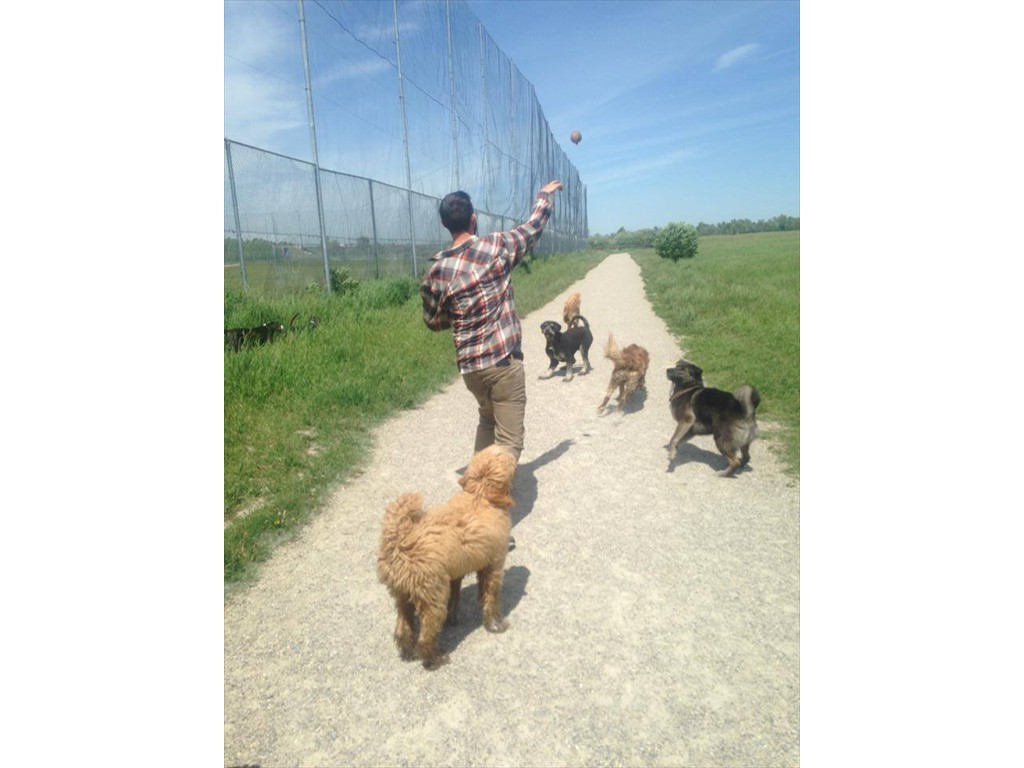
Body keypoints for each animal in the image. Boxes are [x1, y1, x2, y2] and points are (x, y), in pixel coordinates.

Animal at [376, 448, 516, 671]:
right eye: (506, 458)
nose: (509, 449)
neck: (479, 494)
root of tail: (400, 541)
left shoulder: (455, 571)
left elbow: (456, 595)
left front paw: (454, 618)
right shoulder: (495, 563)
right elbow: (491, 597)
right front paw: (495, 624)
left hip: (402, 594)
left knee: (403, 628)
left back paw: (408, 652)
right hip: (432, 598)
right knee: (425, 637)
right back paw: (435, 660)